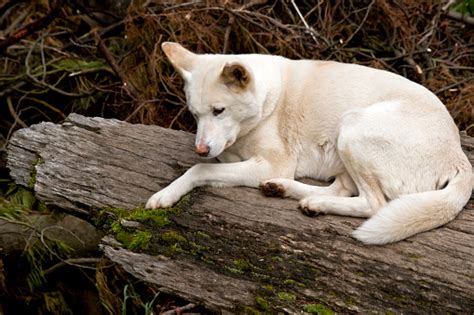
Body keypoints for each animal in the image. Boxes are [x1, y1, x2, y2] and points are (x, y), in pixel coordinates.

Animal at [146, 42, 472, 246]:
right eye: (194, 114)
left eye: (219, 111)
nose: (199, 148)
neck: (267, 101)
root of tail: (459, 157)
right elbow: (212, 166)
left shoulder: (271, 164)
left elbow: (200, 169)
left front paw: (165, 194)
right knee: (343, 189)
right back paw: (291, 193)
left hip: (352, 127)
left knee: (374, 205)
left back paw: (311, 201)